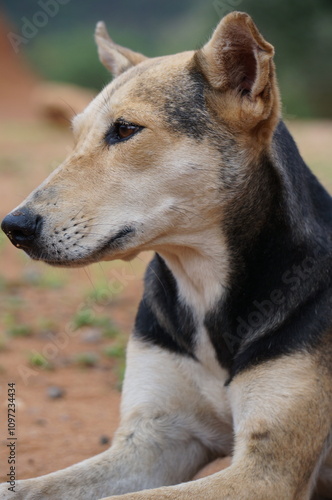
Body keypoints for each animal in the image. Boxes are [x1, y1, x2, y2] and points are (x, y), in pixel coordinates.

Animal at [0, 11, 332, 500]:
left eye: (125, 130)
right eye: (74, 137)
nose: (14, 227)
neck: (203, 287)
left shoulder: (266, 470)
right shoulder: (155, 439)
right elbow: (30, 487)